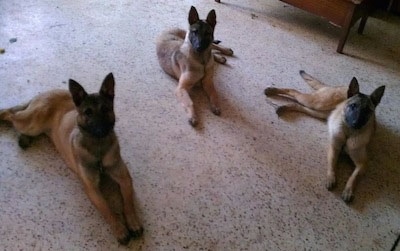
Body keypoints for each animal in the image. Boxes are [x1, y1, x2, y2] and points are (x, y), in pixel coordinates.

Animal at [0, 73, 144, 245]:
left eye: (105, 109)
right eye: (88, 112)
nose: (100, 130)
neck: (98, 150)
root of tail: (44, 93)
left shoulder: (124, 178)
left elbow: (128, 203)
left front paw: (133, 222)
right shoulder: (91, 188)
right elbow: (107, 210)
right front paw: (119, 229)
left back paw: (23, 139)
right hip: (31, 122)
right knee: (9, 113)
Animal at [266, 70, 384, 202]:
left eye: (367, 111)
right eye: (353, 106)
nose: (356, 123)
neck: (348, 133)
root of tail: (339, 87)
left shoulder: (362, 164)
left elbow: (353, 177)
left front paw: (348, 190)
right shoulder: (334, 149)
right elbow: (332, 165)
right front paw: (331, 177)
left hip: (320, 112)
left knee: (299, 106)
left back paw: (283, 107)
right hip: (318, 103)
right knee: (294, 92)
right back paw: (272, 90)